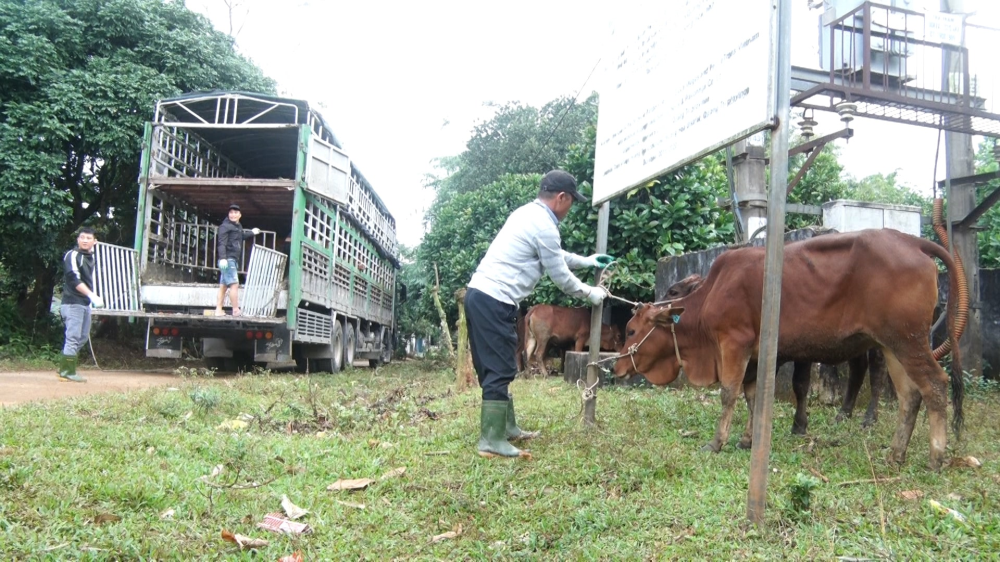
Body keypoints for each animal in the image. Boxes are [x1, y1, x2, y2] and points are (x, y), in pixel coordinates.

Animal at [612, 228, 964, 468]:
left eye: (631, 330)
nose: (615, 366)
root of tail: (910, 240)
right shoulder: (754, 356)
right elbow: (751, 396)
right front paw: (747, 439)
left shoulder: (733, 343)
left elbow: (728, 393)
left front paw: (717, 442)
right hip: (892, 346)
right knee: (910, 395)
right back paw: (895, 453)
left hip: (907, 341)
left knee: (935, 385)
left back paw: (935, 456)